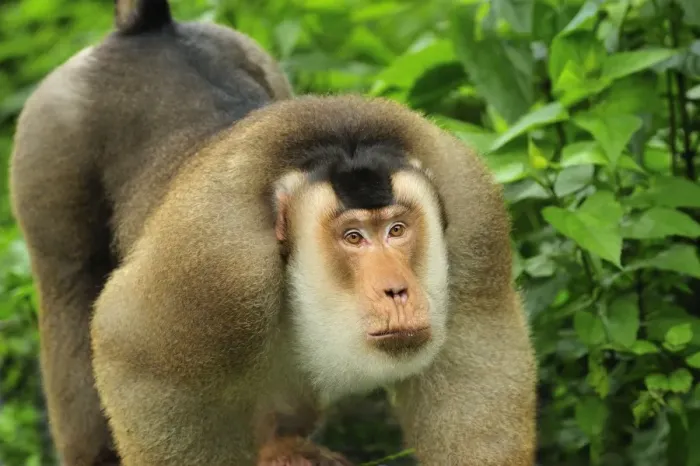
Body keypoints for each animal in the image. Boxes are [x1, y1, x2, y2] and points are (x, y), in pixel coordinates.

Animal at [8, 1, 537, 466]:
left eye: (397, 229)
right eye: (353, 237)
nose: (398, 289)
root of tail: (146, 31)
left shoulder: (472, 213)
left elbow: (472, 368)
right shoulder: (218, 264)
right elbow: (130, 349)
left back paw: (280, 443)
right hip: (49, 134)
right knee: (69, 288)